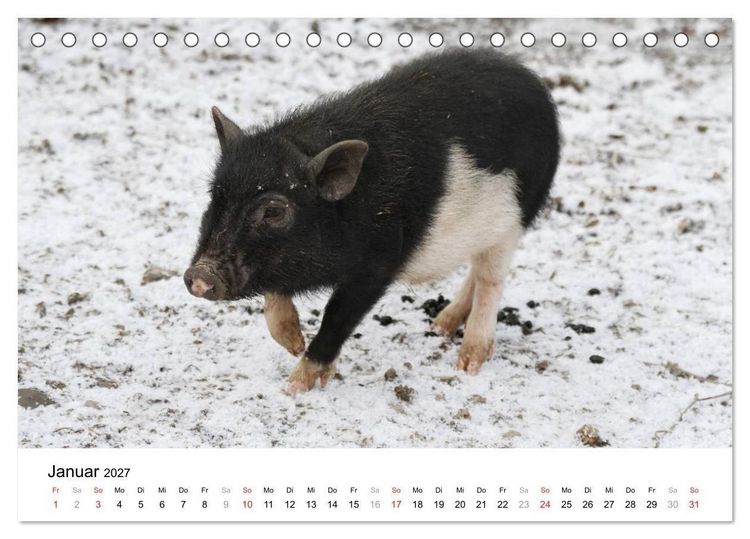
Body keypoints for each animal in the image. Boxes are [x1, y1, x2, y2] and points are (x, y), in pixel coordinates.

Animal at [184, 48, 560, 394]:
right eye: (215, 195)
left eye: (274, 211)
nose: (199, 275)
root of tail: (535, 84)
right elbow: (275, 298)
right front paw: (293, 344)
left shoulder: (379, 261)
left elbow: (338, 316)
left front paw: (293, 387)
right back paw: (440, 326)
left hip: (514, 219)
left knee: (489, 279)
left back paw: (467, 363)